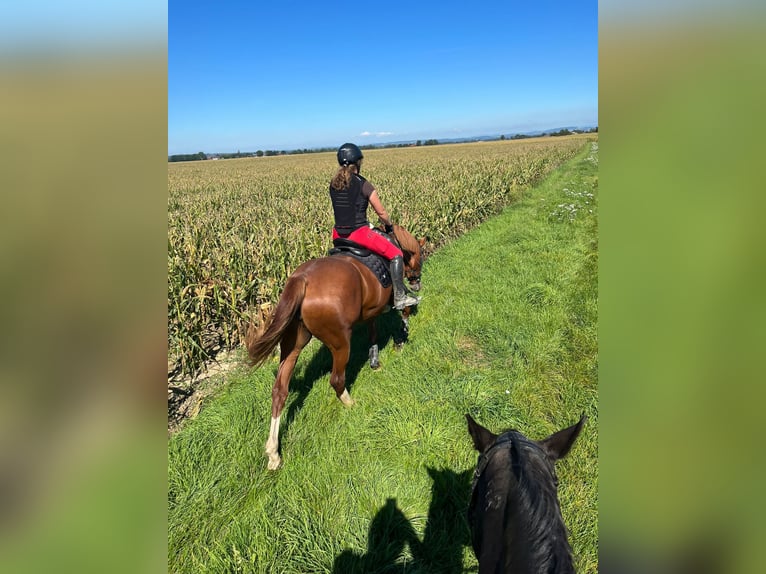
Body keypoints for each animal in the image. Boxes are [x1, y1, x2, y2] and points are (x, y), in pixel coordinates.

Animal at [248, 225, 424, 472]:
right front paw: (401, 337)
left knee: (280, 391)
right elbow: (404, 309)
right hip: (340, 342)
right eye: (421, 256)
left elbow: (372, 331)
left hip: (293, 343)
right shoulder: (387, 301)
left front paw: (375, 359)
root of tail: (302, 279)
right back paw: (352, 404)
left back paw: (273, 453)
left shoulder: (371, 309)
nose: (417, 282)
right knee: (337, 379)